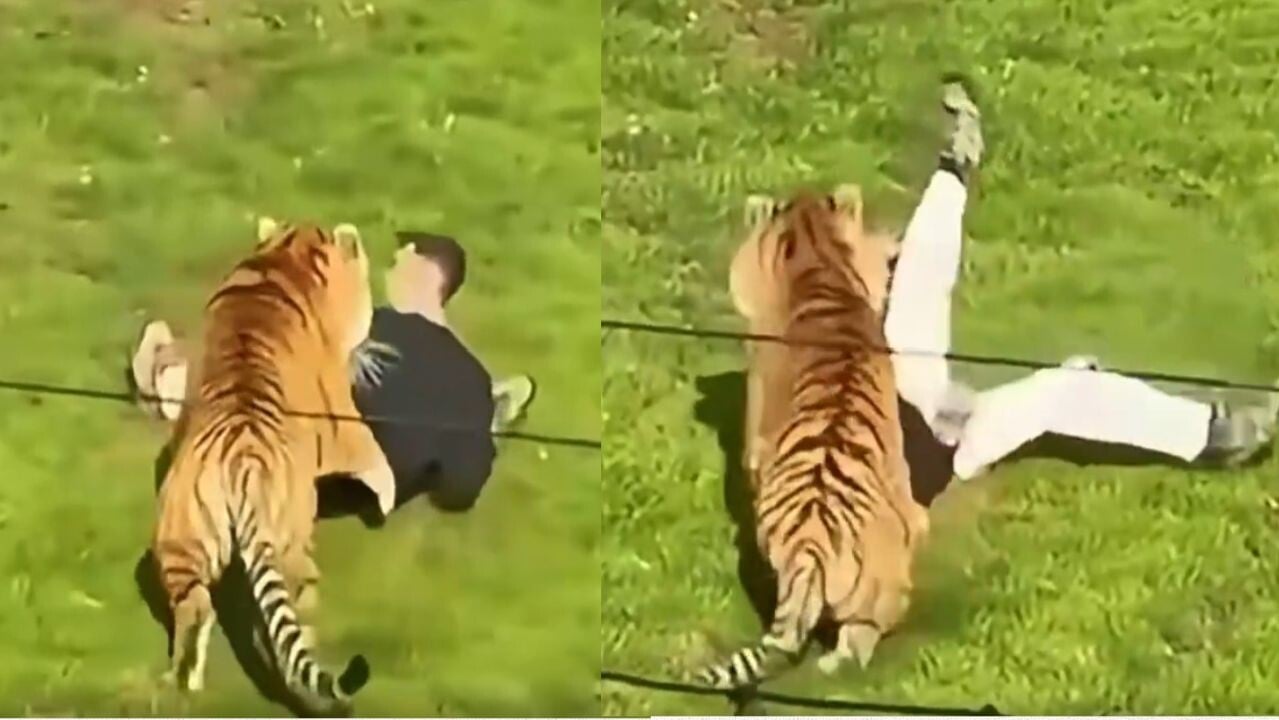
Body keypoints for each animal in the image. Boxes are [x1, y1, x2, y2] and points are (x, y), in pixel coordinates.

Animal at [152, 217, 397, 714]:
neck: (284, 256)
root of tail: (239, 465)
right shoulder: (343, 417)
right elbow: (377, 462)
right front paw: (386, 501)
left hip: (181, 535)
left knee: (195, 608)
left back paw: (185, 679)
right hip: (287, 539)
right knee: (295, 606)